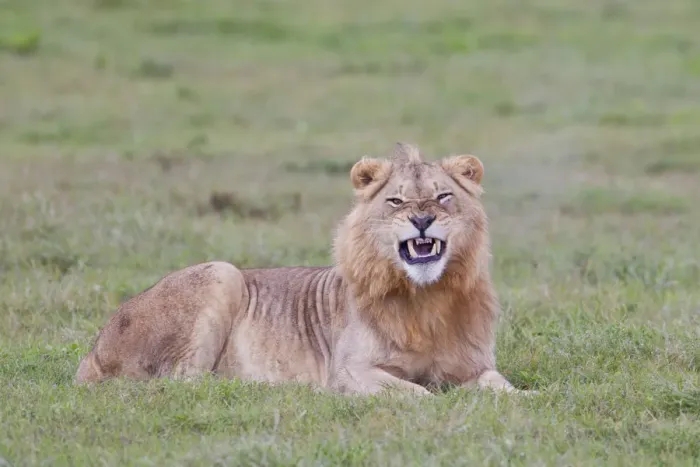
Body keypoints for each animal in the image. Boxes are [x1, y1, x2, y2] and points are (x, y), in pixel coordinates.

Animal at [75, 142, 528, 396]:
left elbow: (500, 386)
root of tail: (92, 352)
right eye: (397, 201)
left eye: (443, 196)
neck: (427, 297)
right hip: (222, 273)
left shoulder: (474, 367)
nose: (421, 220)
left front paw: (527, 400)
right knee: (180, 380)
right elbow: (420, 395)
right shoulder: (349, 371)